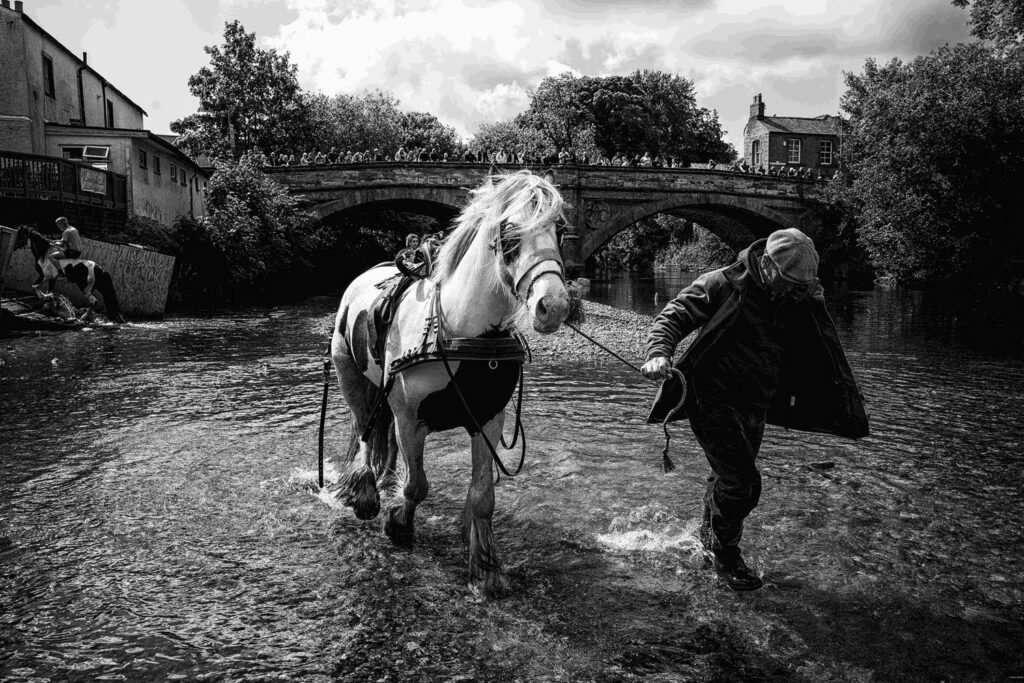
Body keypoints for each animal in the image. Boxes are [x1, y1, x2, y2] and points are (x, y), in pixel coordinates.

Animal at [329, 167, 569, 593]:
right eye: (509, 231)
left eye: (560, 229)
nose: (553, 305)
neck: (458, 328)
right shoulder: (411, 417)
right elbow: (417, 485)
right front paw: (398, 520)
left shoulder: (488, 419)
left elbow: (483, 497)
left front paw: (485, 566)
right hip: (351, 377)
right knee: (365, 431)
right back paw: (365, 492)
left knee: (384, 440)